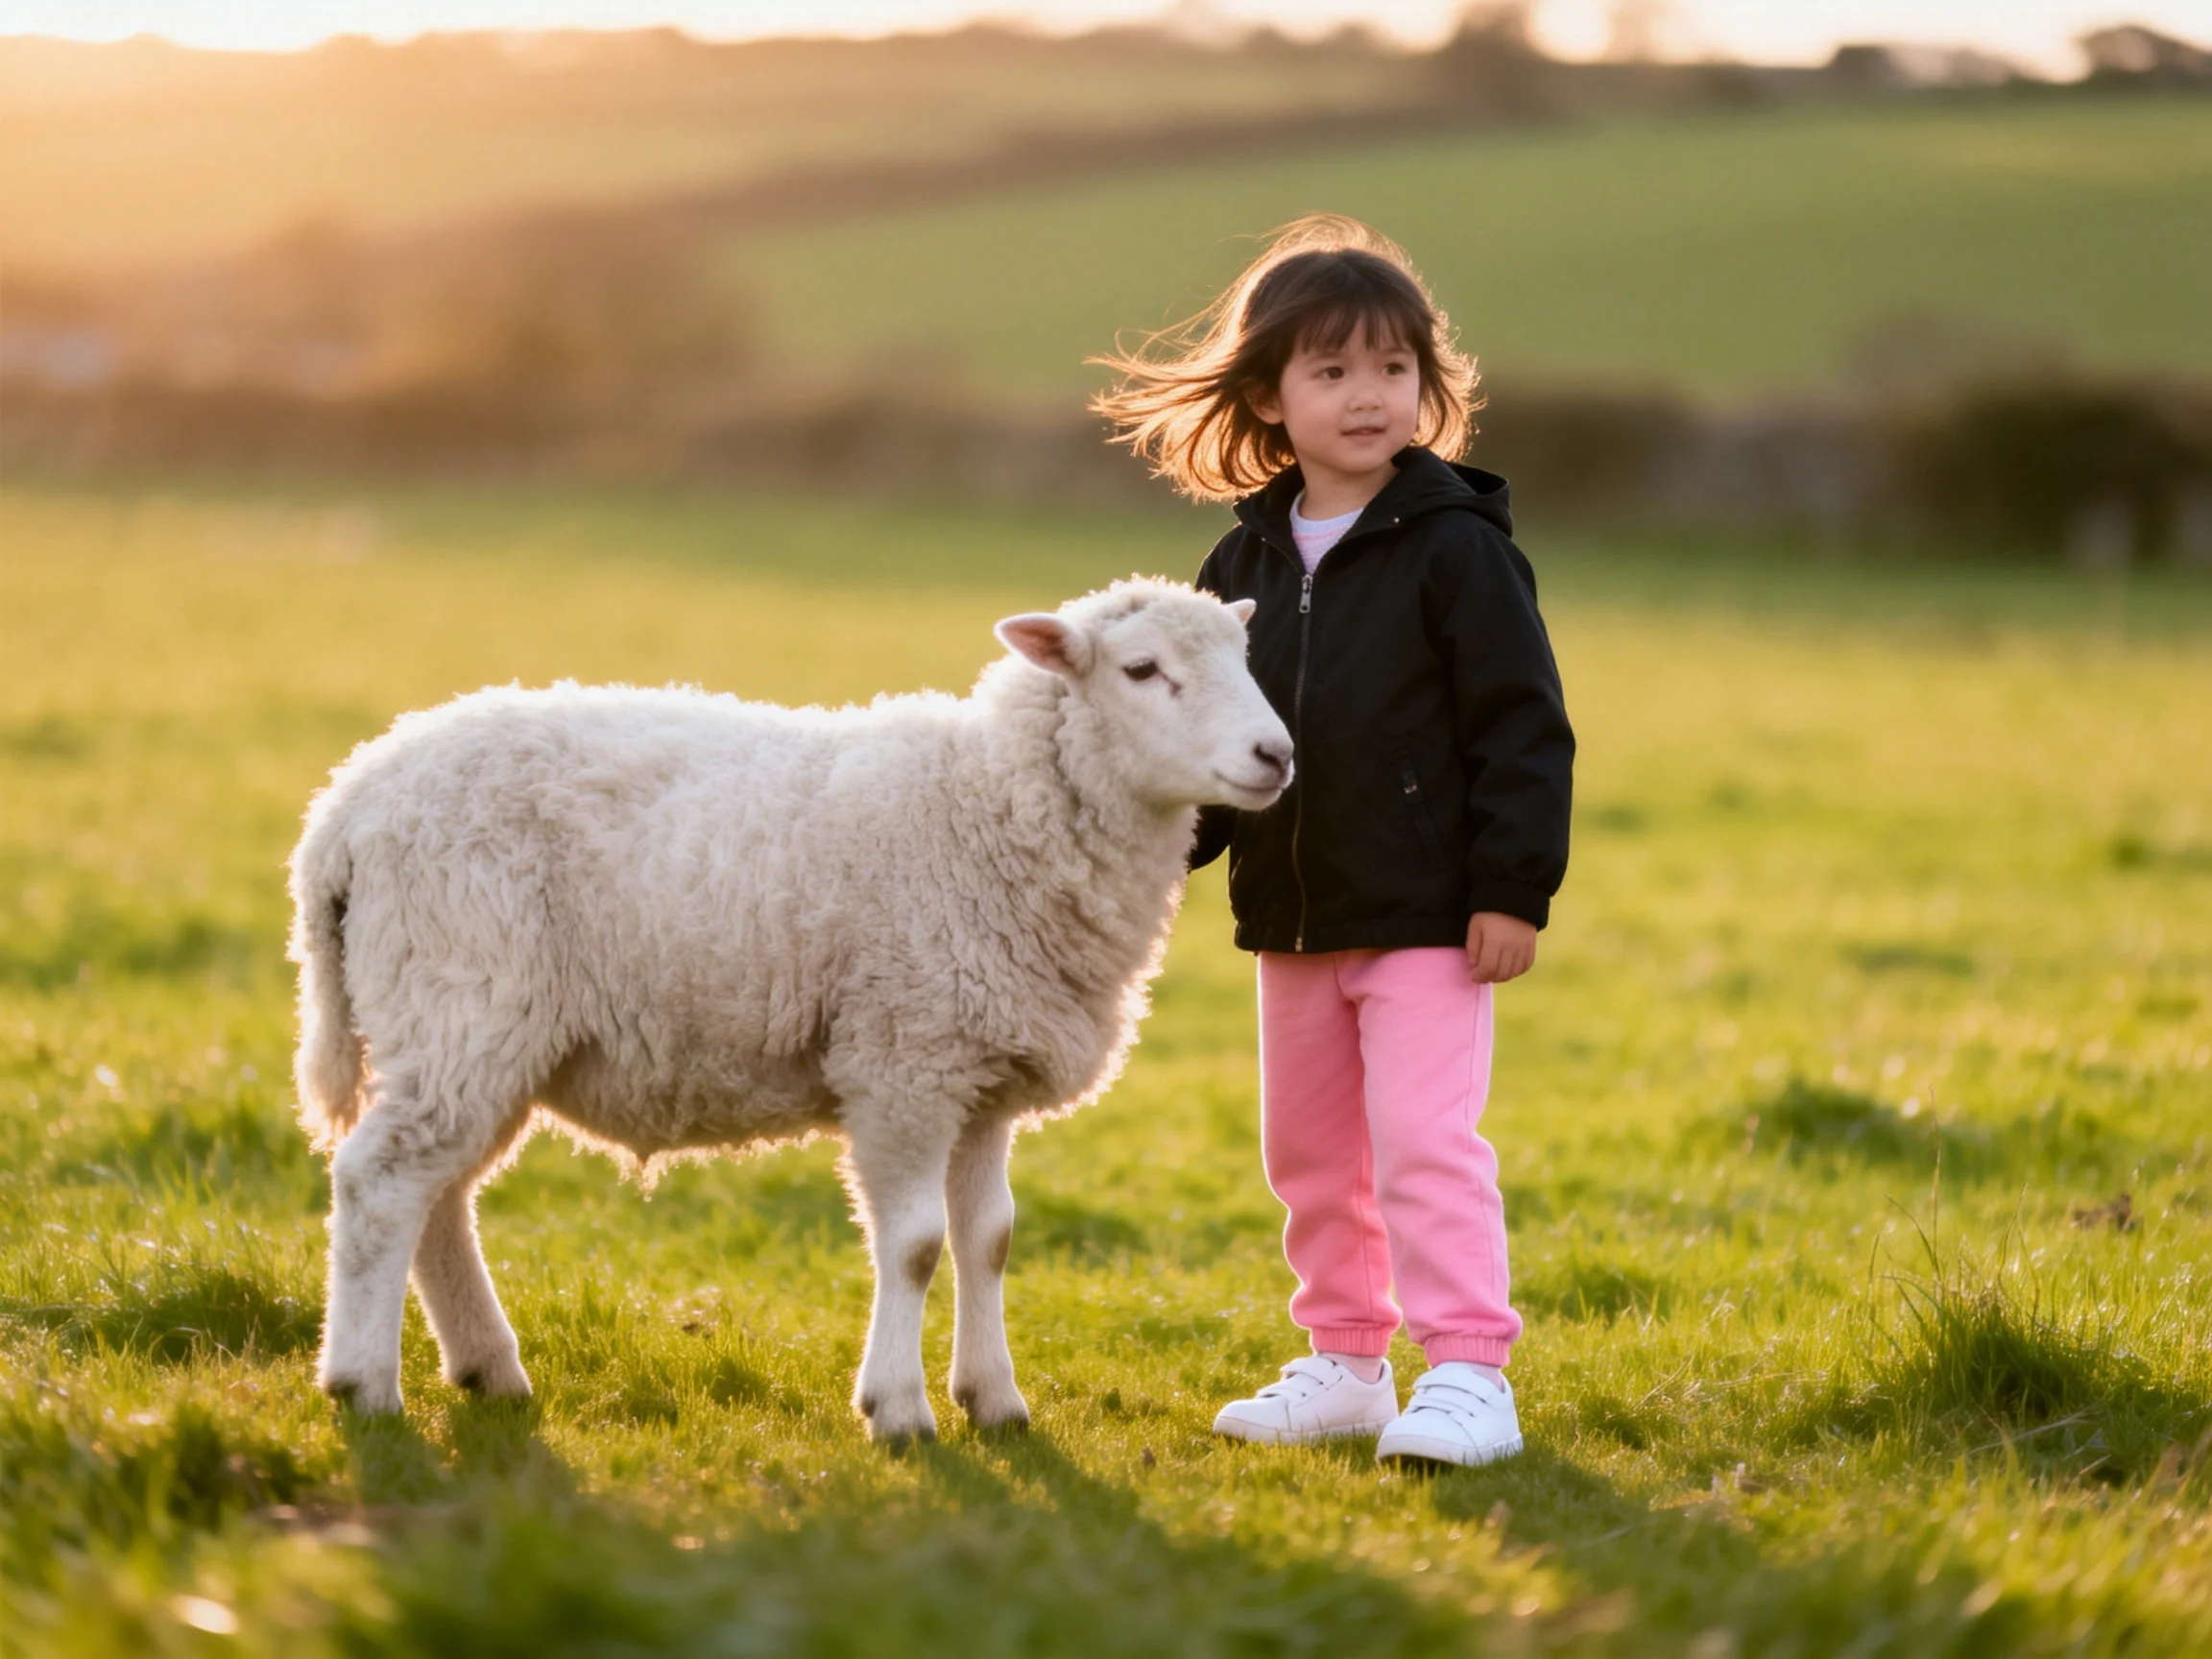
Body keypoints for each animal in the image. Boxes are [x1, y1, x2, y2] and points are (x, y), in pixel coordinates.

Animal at [288, 578, 1291, 1441]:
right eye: (1142, 669)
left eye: (1245, 657)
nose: (1277, 754)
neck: (989, 806)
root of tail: (346, 806)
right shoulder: (903, 1062)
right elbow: (917, 1245)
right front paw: (899, 1411)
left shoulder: (979, 1077)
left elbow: (989, 1240)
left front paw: (995, 1400)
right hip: (462, 999)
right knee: (380, 1182)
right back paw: (363, 1384)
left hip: (479, 1035)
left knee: (437, 1196)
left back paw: (487, 1368)